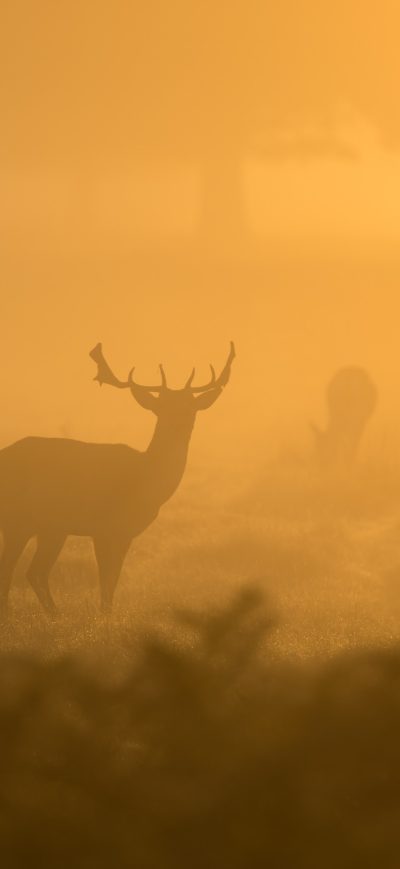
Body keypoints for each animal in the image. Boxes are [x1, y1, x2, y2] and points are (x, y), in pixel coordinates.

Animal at [0, 342, 235, 617]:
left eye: (191, 407)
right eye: (161, 407)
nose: (180, 424)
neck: (146, 481)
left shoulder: (126, 532)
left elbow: (113, 579)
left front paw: (107, 614)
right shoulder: (103, 526)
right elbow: (106, 579)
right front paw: (104, 616)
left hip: (49, 527)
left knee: (33, 571)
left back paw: (50, 615)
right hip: (21, 519)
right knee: (15, 568)